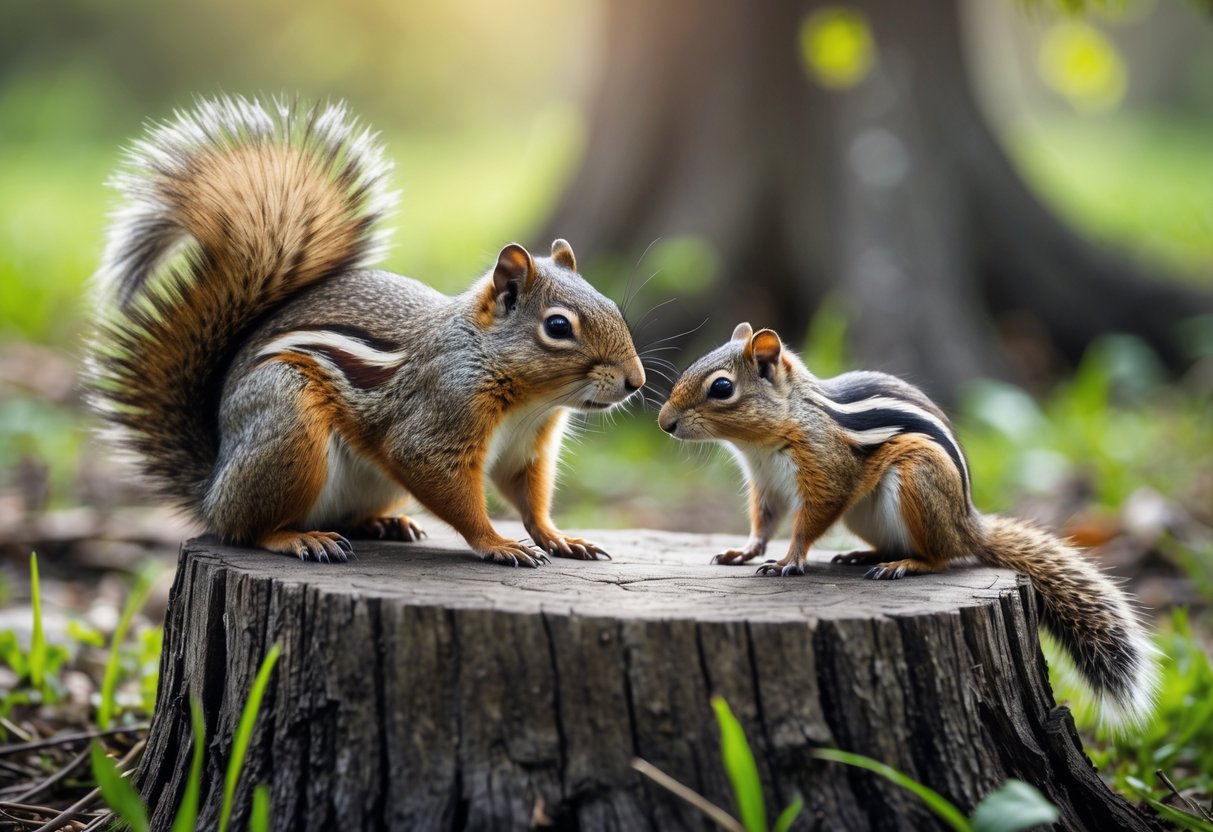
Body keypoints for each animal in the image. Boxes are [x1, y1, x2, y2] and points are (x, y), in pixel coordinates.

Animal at [86, 96, 645, 567]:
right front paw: (497, 543)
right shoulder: (437, 414)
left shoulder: (527, 449)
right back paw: (298, 538)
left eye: (611, 305)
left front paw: (557, 537)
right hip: (286, 427)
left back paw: (386, 524)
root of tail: (212, 490)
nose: (635, 381)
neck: (530, 398)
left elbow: (529, 499)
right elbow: (449, 487)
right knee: (250, 529)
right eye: (558, 326)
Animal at [658, 322, 1158, 727]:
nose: (665, 423)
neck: (770, 435)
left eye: (722, 388)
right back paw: (865, 555)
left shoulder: (826, 474)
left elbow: (807, 523)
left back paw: (905, 565)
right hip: (868, 514)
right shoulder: (766, 486)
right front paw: (742, 552)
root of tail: (967, 522)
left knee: (942, 556)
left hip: (918, 478)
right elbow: (763, 525)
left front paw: (788, 561)